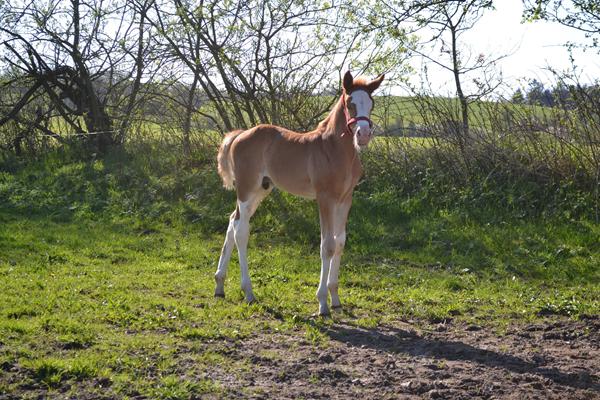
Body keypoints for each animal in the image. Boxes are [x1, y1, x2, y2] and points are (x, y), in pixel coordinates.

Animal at [214, 72, 384, 316]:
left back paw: (219, 285)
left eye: (371, 103)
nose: (364, 134)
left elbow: (340, 242)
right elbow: (327, 245)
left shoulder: (345, 199)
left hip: (261, 189)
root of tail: (240, 134)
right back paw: (248, 292)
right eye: (350, 103)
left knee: (232, 221)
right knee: (241, 231)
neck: (335, 150)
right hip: (246, 189)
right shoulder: (325, 198)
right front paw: (322, 304)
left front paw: (336, 299)